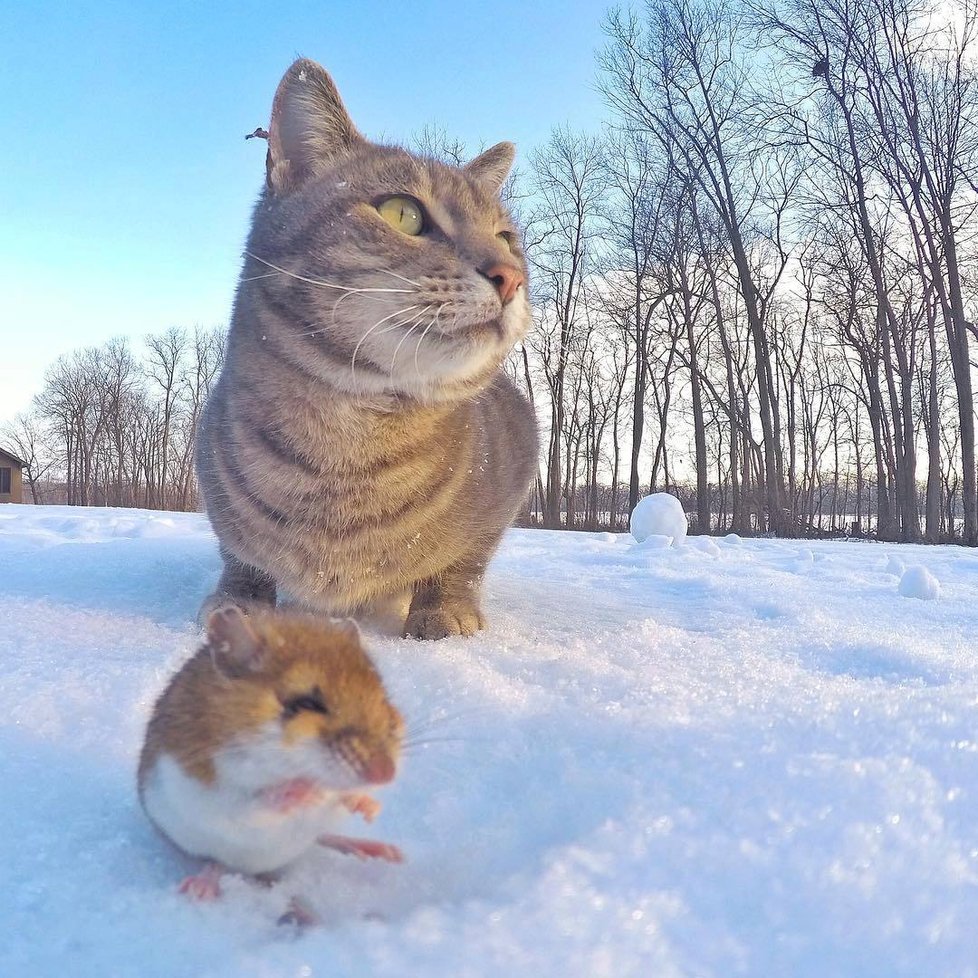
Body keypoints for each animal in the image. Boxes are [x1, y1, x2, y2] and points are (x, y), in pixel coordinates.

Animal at [194, 61, 536, 640]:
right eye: (403, 213)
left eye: (506, 238)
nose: (509, 276)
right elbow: (239, 552)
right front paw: (239, 599)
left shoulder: (514, 466)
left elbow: (464, 559)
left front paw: (444, 608)